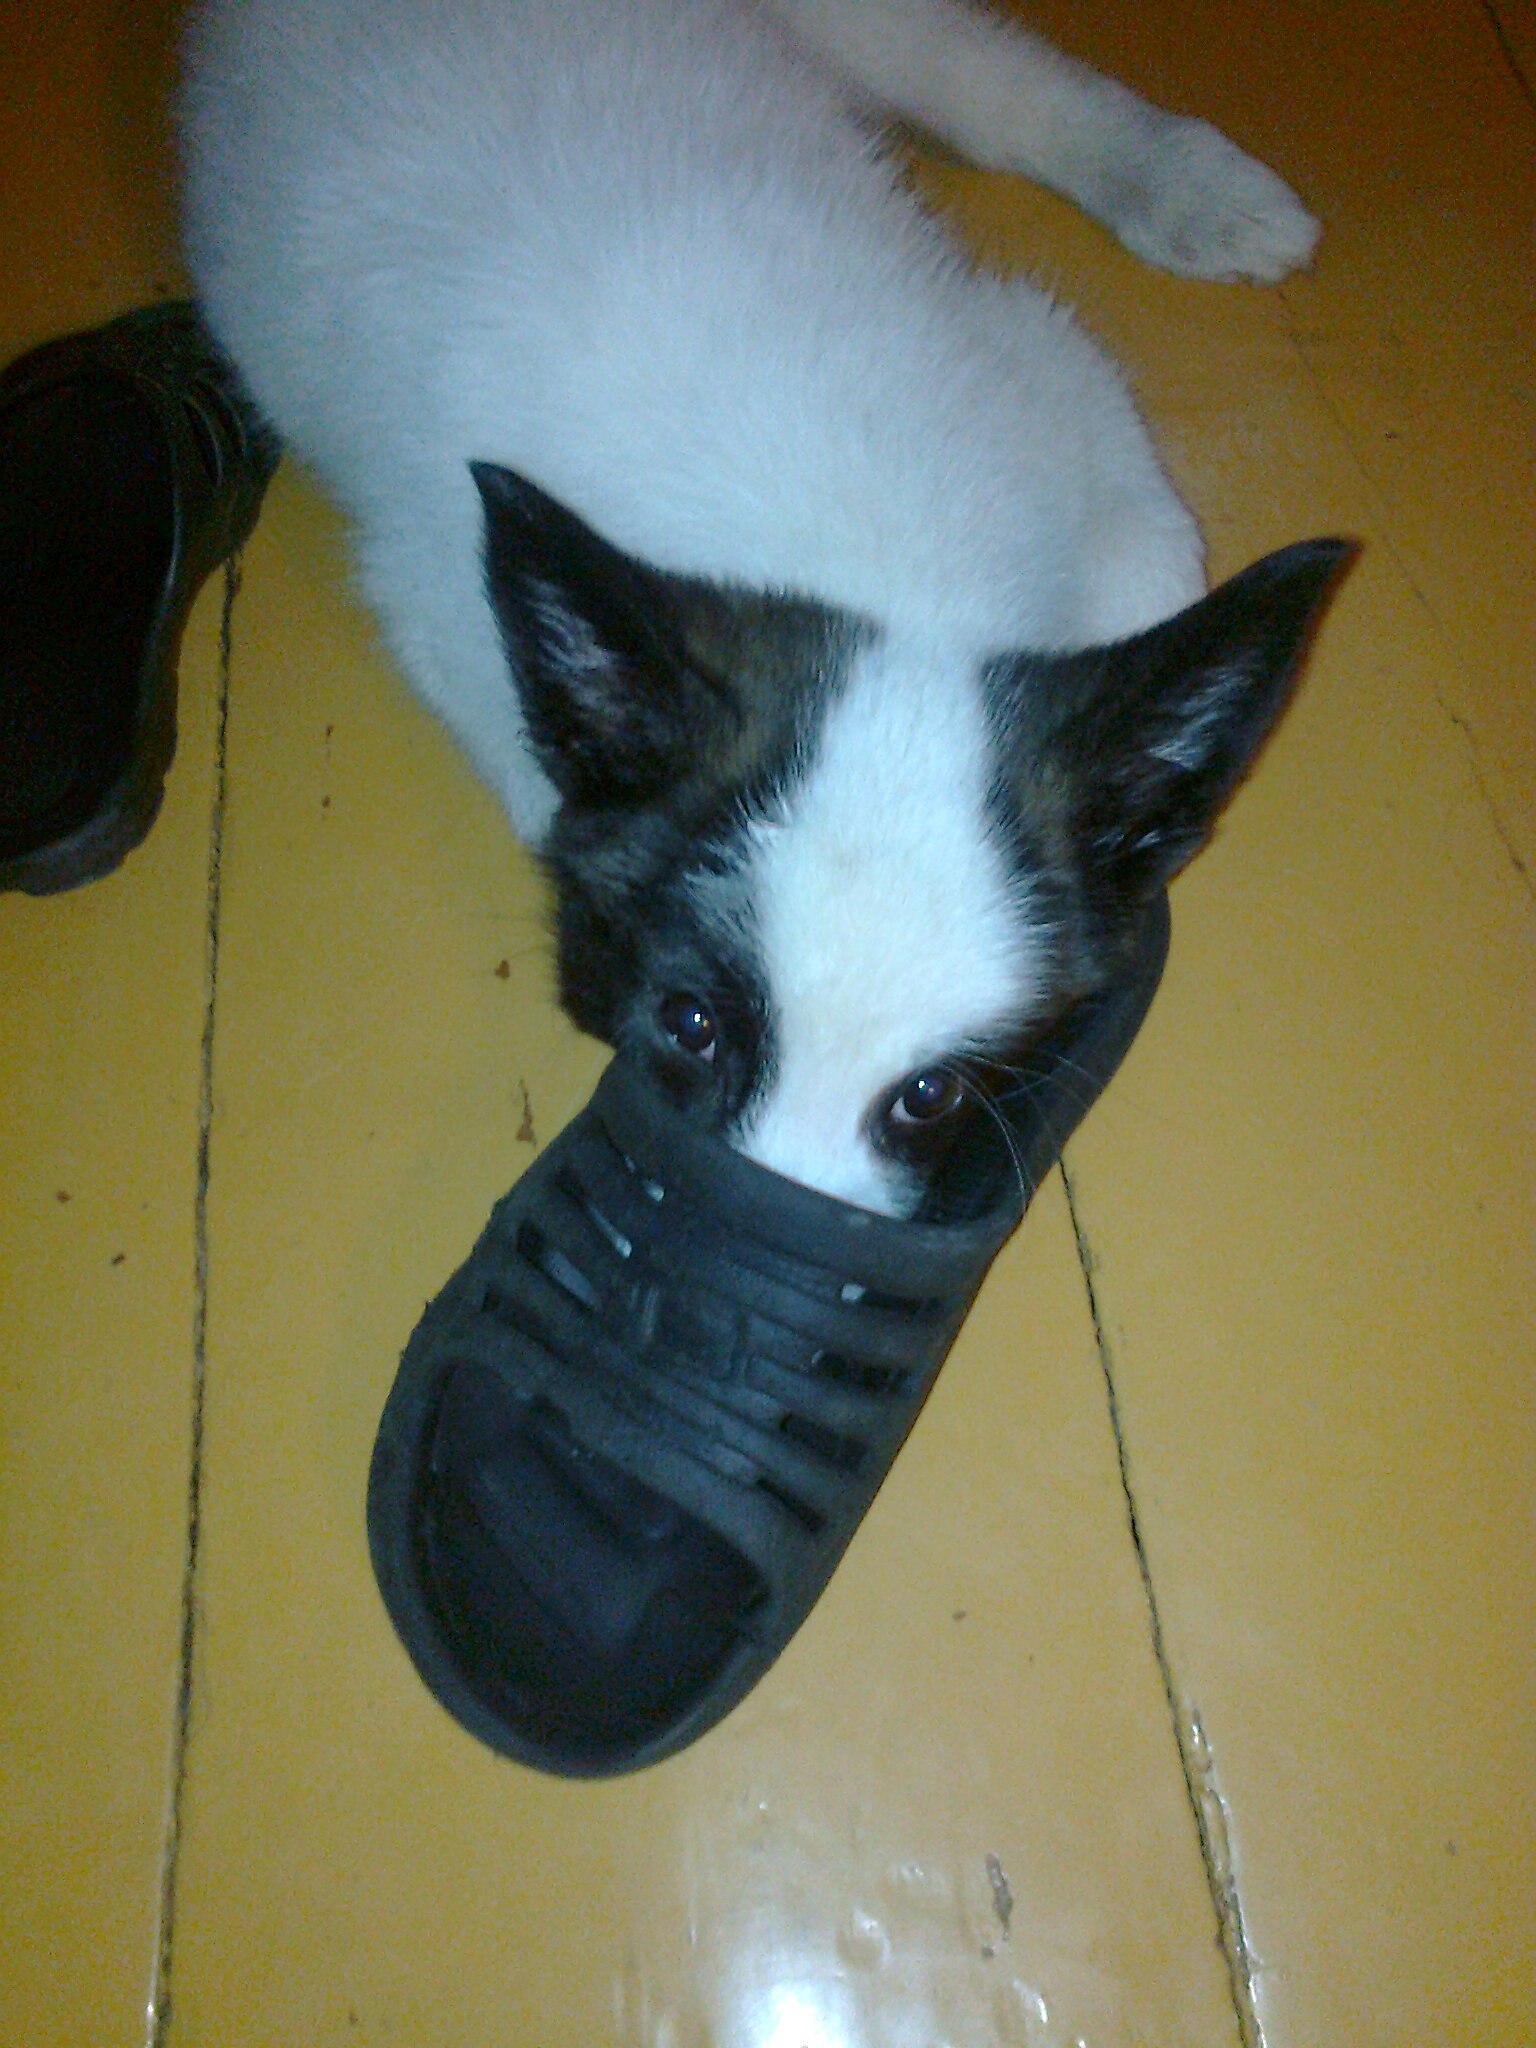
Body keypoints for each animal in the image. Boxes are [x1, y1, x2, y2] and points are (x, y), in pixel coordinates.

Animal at [181, 0, 1343, 1219]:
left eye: (930, 1094)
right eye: (690, 1025)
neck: (876, 568)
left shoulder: (1042, 369)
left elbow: (1150, 564)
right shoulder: (435, 594)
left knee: (995, 81)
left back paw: (1200, 191)